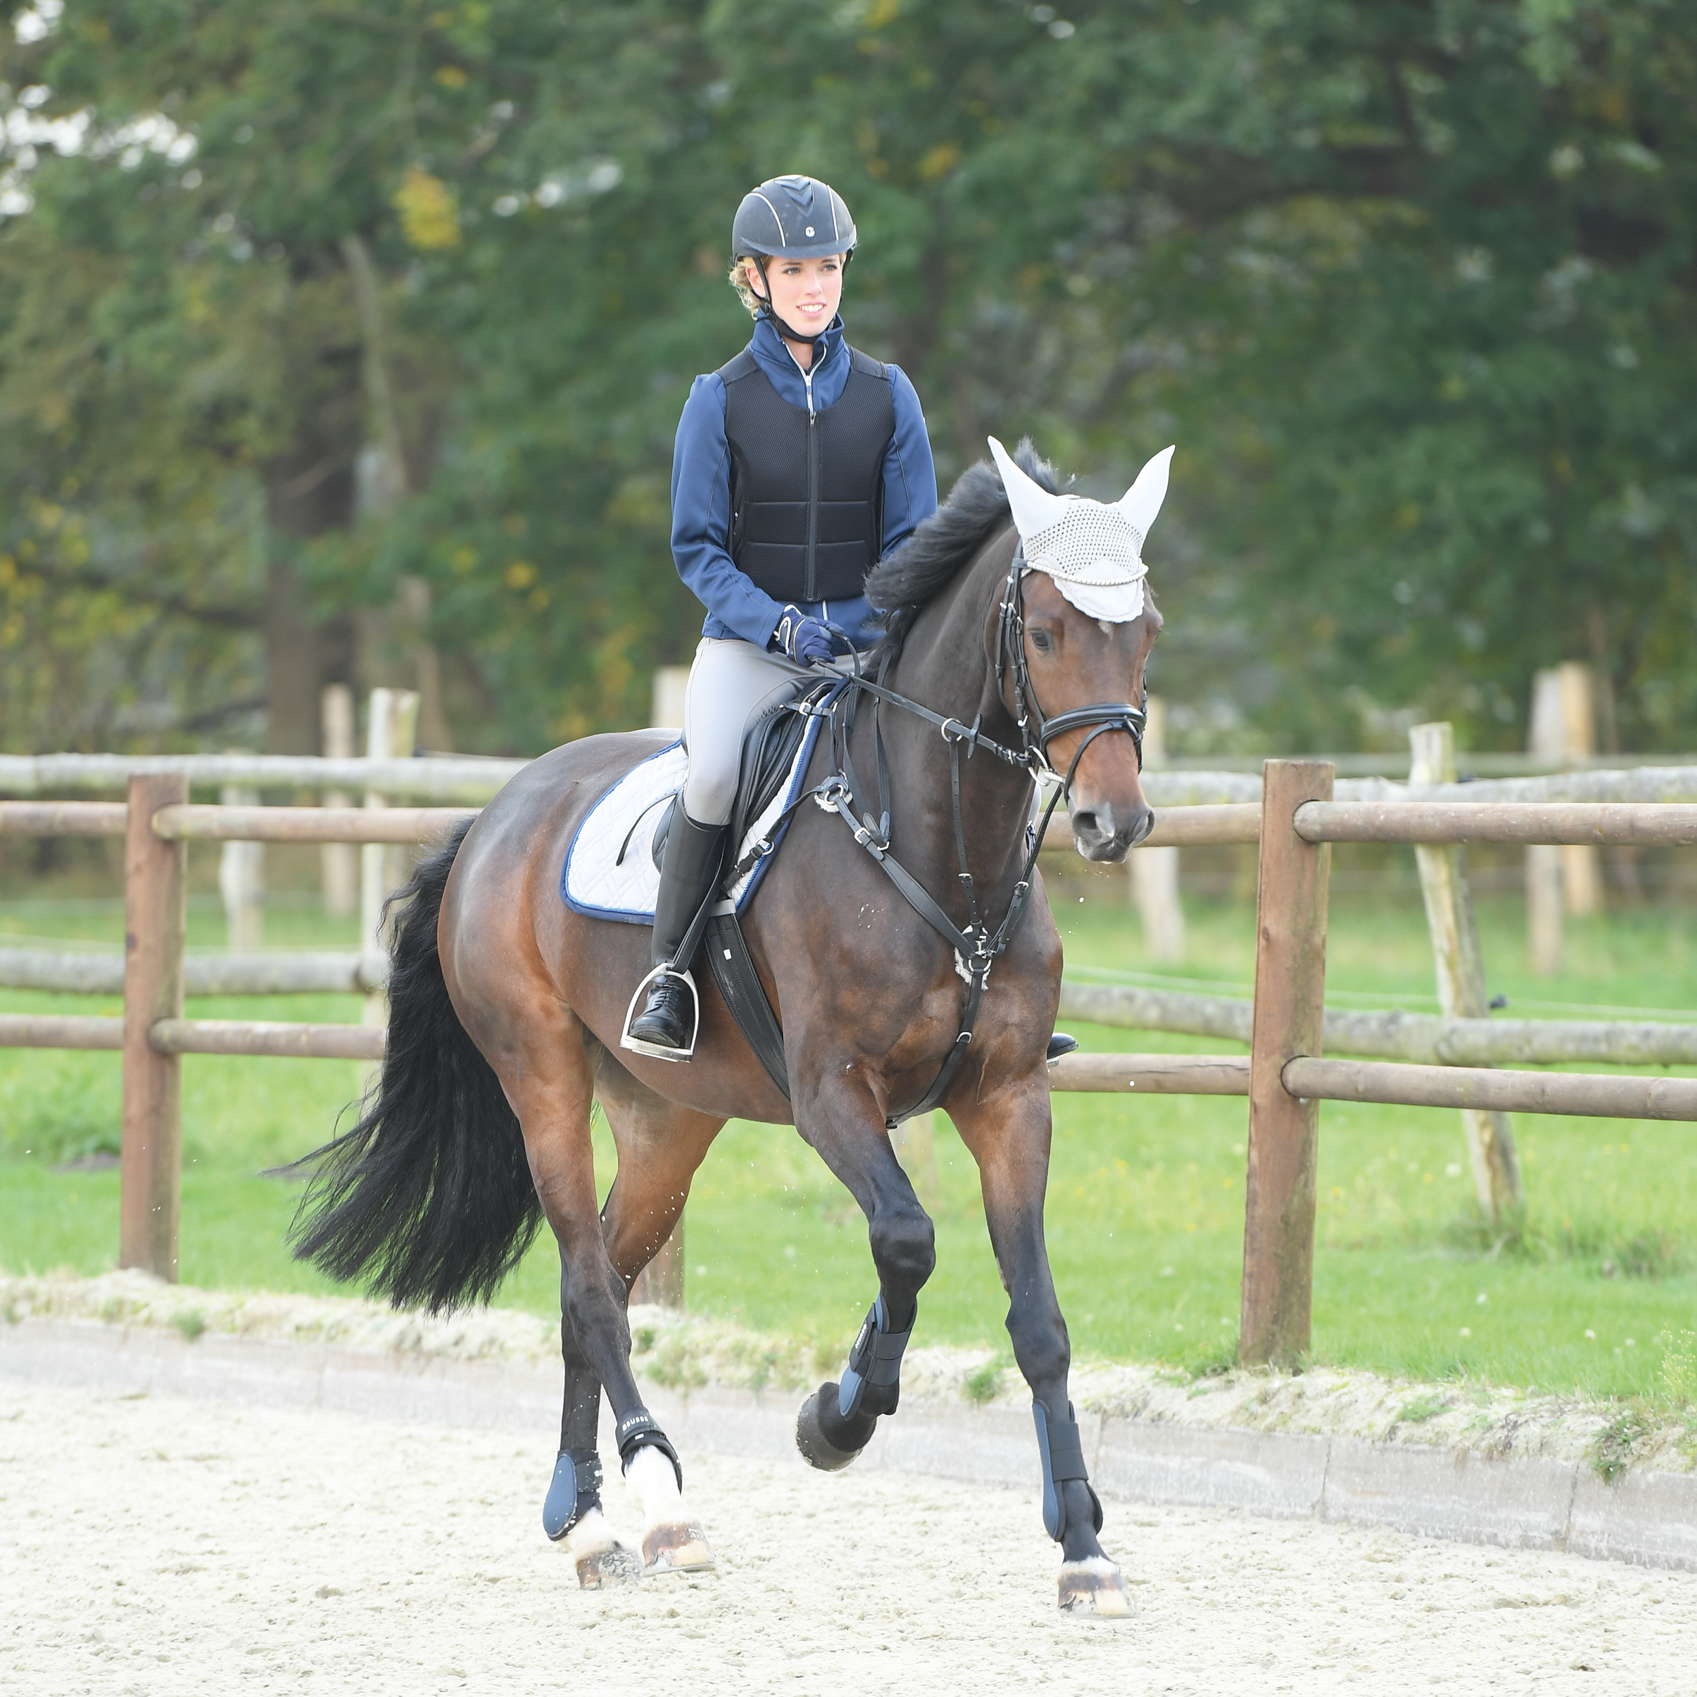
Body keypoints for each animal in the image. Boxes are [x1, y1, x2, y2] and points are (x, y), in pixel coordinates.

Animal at [288, 437, 1167, 1615]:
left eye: (1143, 626)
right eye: (1043, 631)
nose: (1112, 821)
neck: (938, 847)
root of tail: (496, 815)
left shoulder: (1008, 1097)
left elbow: (1038, 1323)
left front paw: (1081, 1543)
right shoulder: (833, 1093)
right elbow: (906, 1240)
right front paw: (836, 1417)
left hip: (669, 1122)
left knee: (597, 1282)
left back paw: (584, 1518)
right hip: (543, 1079)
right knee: (588, 1286)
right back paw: (658, 1508)